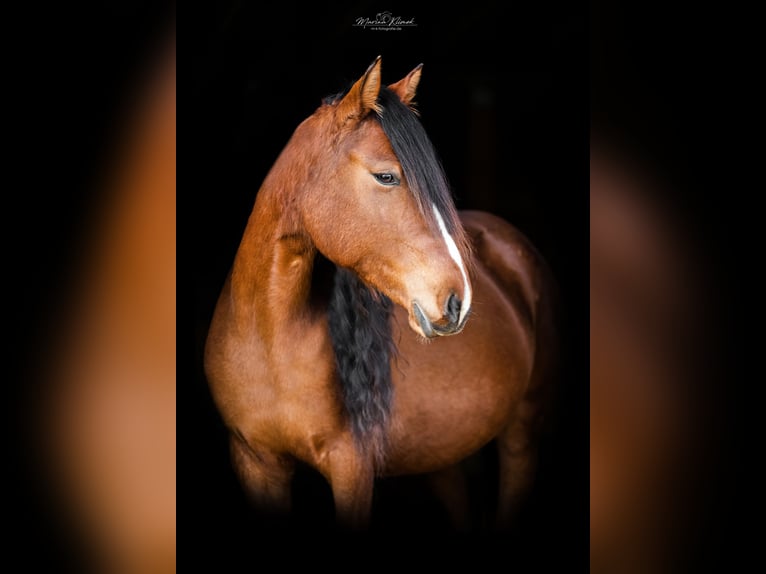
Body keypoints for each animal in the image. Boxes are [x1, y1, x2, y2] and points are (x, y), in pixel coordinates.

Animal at [206, 57, 560, 532]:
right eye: (386, 176)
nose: (459, 301)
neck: (269, 343)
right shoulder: (255, 462)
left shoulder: (351, 467)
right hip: (442, 456)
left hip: (522, 432)